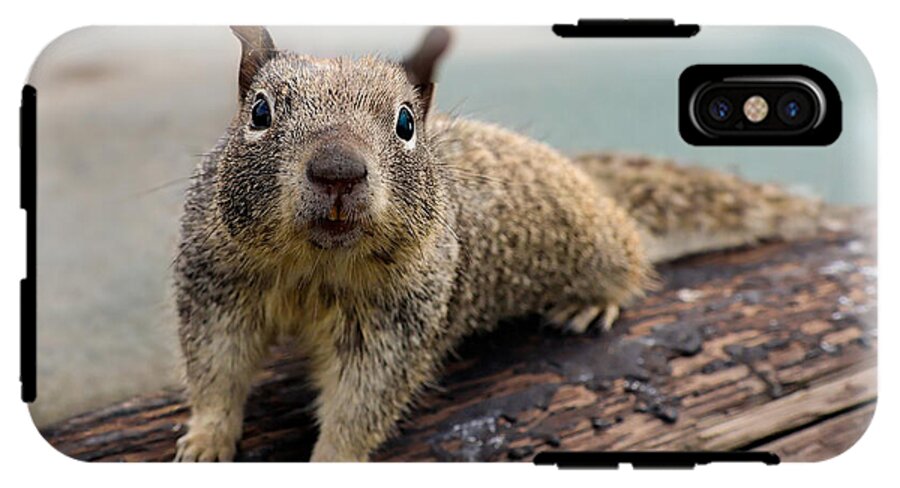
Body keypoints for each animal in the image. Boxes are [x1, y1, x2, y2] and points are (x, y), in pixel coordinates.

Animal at [173, 26, 821, 462]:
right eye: (259, 112)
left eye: (406, 123)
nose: (338, 170)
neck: (317, 264)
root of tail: (589, 181)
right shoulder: (217, 286)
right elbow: (216, 369)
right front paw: (205, 439)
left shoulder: (397, 322)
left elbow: (363, 400)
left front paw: (332, 459)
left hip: (599, 242)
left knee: (631, 255)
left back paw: (593, 300)